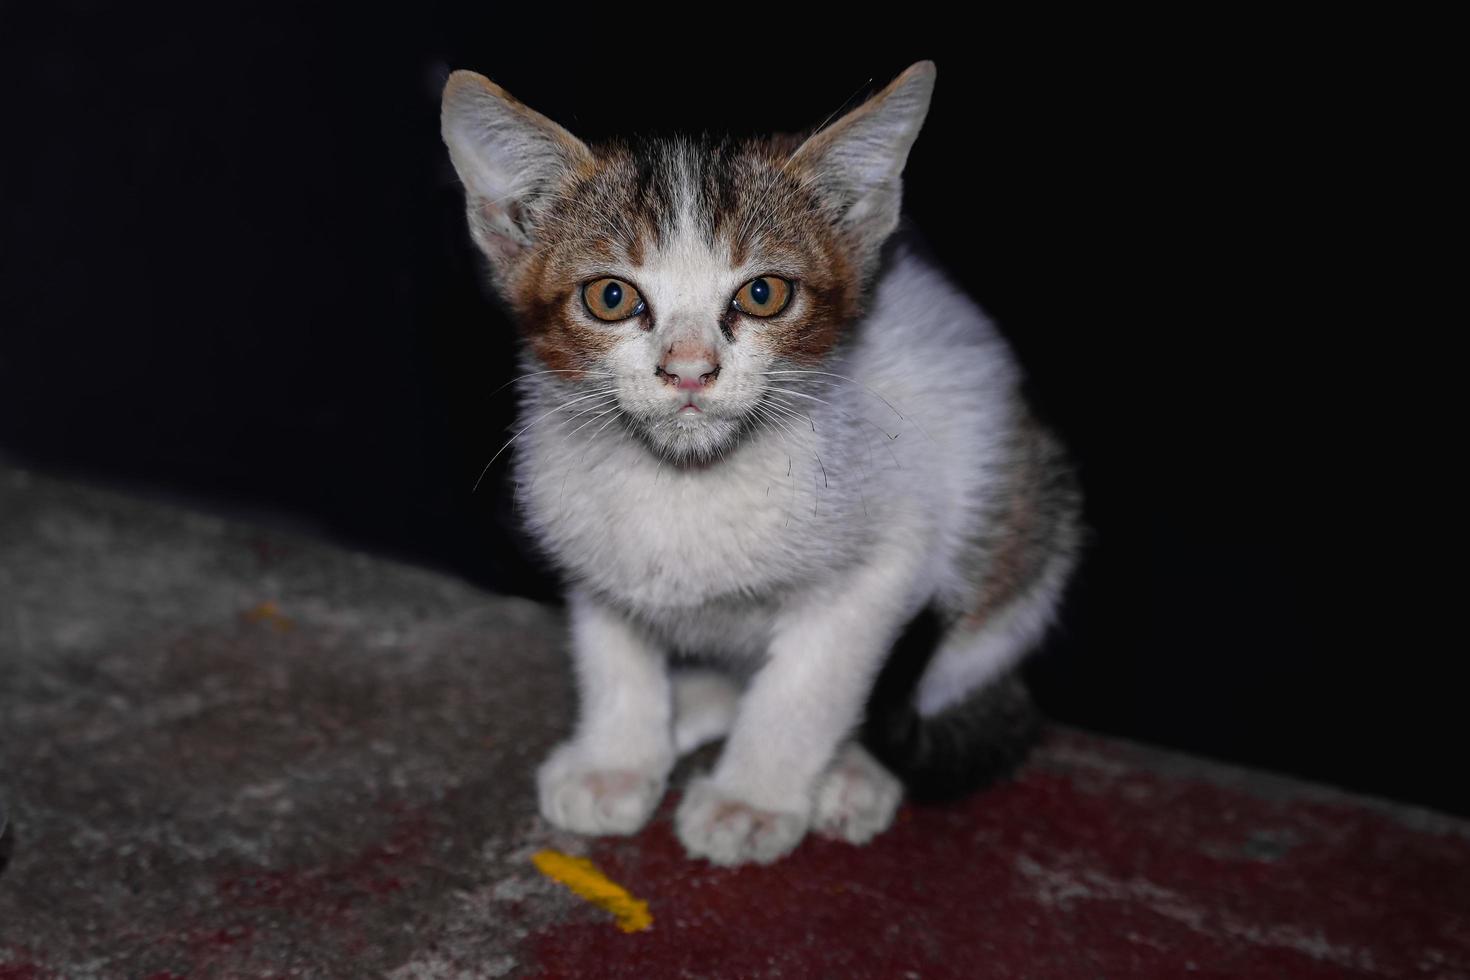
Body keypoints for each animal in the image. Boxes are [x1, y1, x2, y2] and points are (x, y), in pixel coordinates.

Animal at [435, 61, 1081, 863]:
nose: (689, 369)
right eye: (611, 296)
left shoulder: (886, 562)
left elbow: (807, 686)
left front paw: (753, 796)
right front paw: (617, 757)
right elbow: (612, 648)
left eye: (764, 293)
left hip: (1022, 529)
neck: (688, 483)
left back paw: (848, 770)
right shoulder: (584, 539)